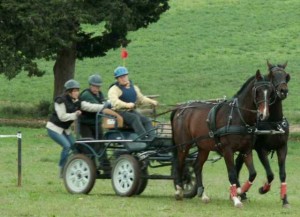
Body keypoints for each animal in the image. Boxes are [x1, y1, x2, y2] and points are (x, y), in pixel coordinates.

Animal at [171, 70, 274, 208]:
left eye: (270, 92)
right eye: (257, 91)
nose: (264, 114)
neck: (238, 116)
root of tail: (180, 108)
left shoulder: (246, 150)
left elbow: (253, 173)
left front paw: (240, 191)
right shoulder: (227, 150)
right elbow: (232, 174)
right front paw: (236, 198)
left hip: (203, 147)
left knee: (197, 166)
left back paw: (203, 195)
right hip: (183, 145)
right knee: (179, 165)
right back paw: (179, 191)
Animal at [236, 60, 290, 207]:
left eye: (286, 76)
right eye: (272, 76)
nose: (283, 90)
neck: (273, 122)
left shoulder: (282, 148)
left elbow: (283, 174)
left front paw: (285, 199)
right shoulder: (261, 149)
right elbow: (270, 174)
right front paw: (263, 188)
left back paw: (241, 193)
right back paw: (241, 192)